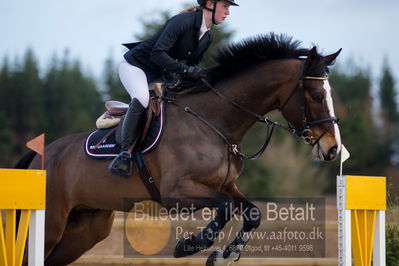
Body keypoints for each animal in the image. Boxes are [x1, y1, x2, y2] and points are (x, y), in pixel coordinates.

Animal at [20, 34, 342, 264]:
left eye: (330, 94)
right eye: (315, 95)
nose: (333, 149)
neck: (214, 122)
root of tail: (40, 157)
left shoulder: (225, 185)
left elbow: (252, 213)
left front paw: (227, 253)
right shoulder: (176, 193)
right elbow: (225, 208)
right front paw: (189, 246)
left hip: (85, 230)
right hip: (51, 225)